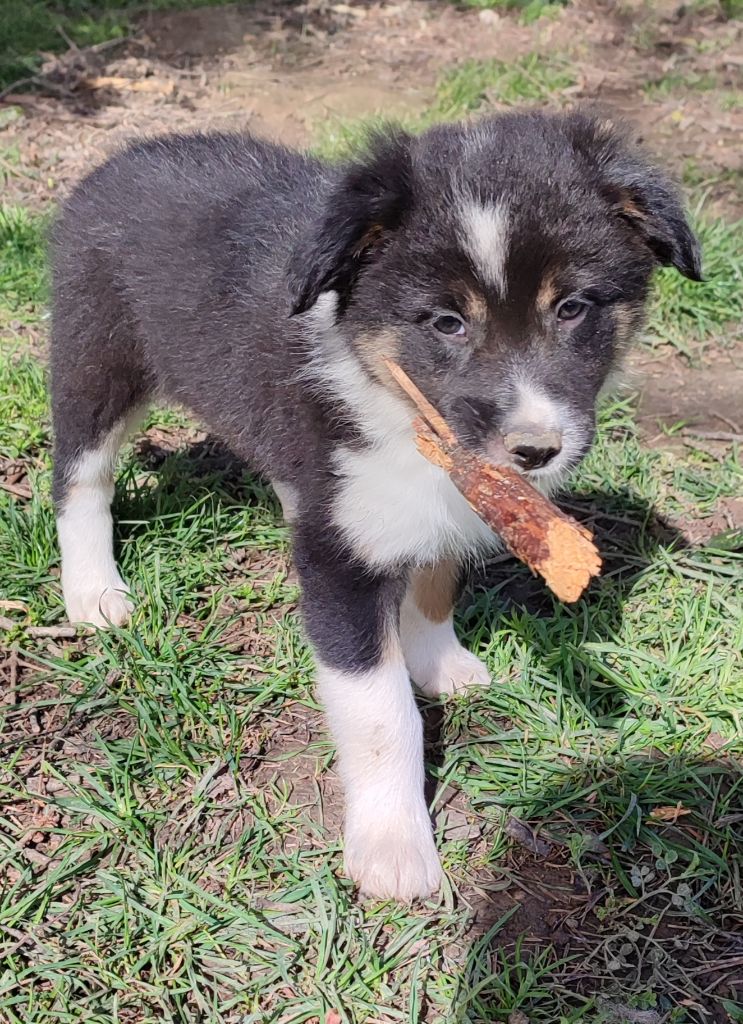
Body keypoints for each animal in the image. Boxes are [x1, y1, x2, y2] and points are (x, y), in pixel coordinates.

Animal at [49, 110, 700, 901]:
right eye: (447, 322)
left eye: (572, 308)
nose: (535, 451)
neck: (393, 403)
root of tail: (125, 157)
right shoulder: (342, 560)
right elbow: (381, 712)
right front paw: (393, 851)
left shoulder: (450, 489)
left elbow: (434, 580)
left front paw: (440, 661)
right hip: (94, 358)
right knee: (79, 480)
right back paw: (93, 594)